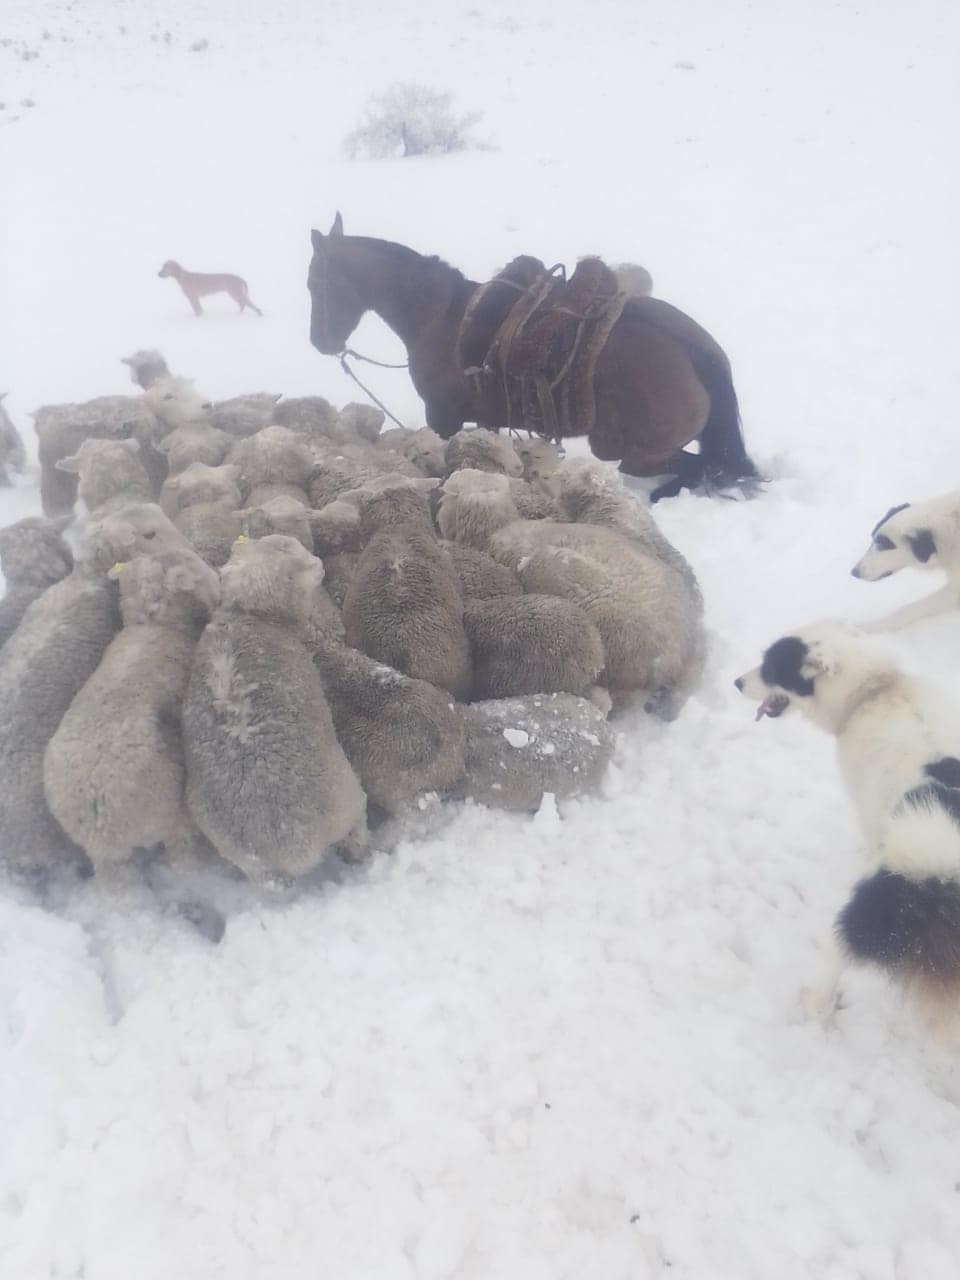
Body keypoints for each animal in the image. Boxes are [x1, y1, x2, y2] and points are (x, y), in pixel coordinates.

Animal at [309, 212, 757, 496]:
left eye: (314, 283)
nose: (319, 342)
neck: (440, 317)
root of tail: (697, 350)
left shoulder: (443, 418)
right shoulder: (484, 421)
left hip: (631, 453)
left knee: (703, 467)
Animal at [737, 624, 960, 1034]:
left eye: (771, 667)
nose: (736, 682)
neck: (878, 689)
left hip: (861, 916)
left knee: (833, 966)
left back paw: (813, 1004)